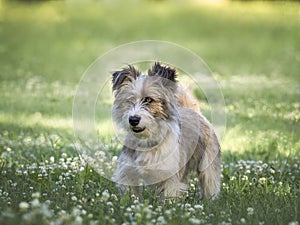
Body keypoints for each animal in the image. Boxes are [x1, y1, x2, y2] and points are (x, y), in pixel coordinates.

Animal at [110, 62, 220, 200]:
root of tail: (193, 111)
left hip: (208, 165)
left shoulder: (169, 180)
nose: (133, 119)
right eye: (129, 100)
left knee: (210, 182)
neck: (147, 140)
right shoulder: (128, 174)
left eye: (149, 100)